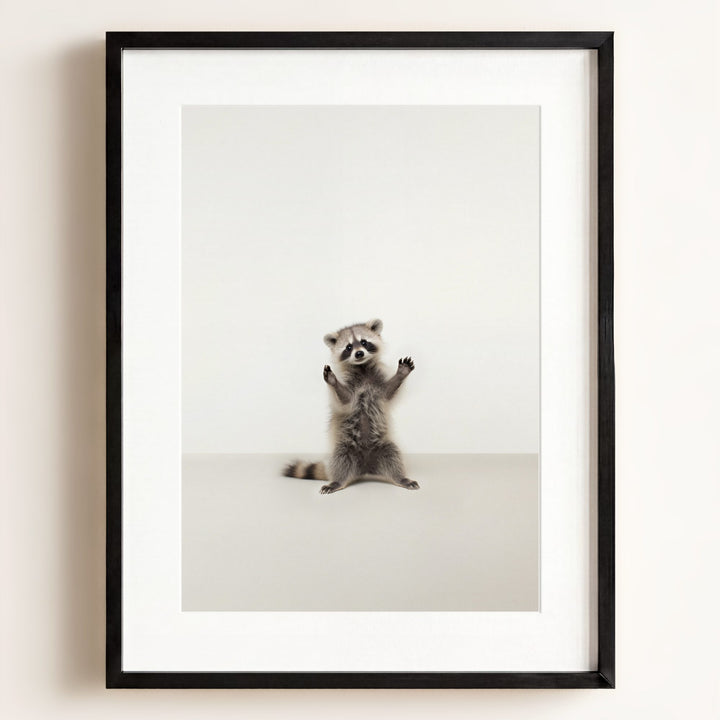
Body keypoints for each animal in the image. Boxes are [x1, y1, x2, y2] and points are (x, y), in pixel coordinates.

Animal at [283, 319, 419, 494]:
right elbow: (345, 400)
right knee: (340, 460)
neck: (362, 368)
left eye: (364, 342)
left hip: (383, 446)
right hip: (345, 447)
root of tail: (365, 468)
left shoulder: (377, 383)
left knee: (393, 456)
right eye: (348, 347)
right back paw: (337, 481)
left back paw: (401, 478)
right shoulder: (350, 387)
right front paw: (333, 382)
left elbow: (388, 393)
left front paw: (400, 374)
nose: (359, 353)